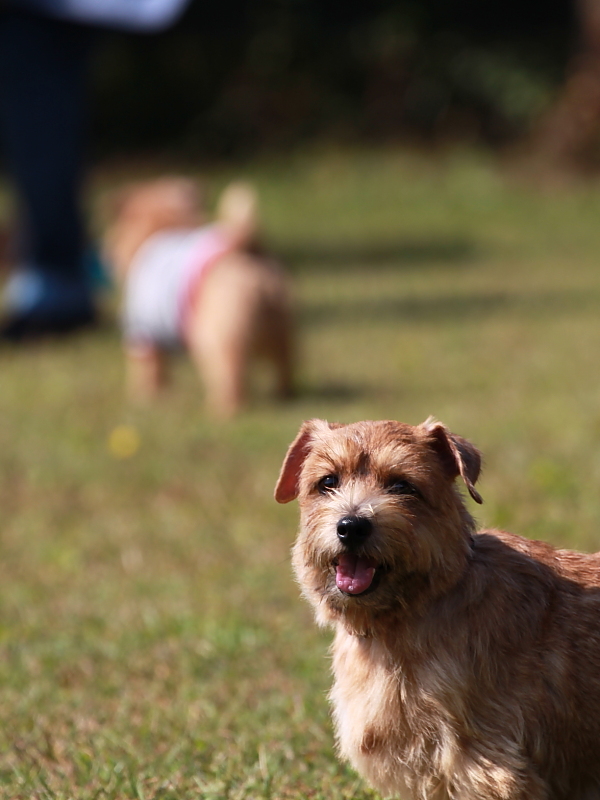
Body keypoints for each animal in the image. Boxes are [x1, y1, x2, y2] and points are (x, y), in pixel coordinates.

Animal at [104, 177, 294, 416]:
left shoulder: (143, 334)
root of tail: (246, 250)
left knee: (232, 381)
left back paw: (220, 409)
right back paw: (283, 393)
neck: (165, 225)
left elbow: (149, 372)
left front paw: (146, 397)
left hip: (219, 341)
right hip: (282, 330)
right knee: (285, 364)